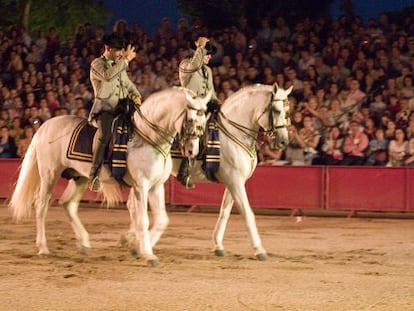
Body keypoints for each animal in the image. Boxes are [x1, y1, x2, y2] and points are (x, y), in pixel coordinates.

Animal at [8, 86, 210, 266]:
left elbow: (161, 220)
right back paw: (43, 248)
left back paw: (84, 243)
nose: (192, 150)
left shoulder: (156, 186)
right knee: (41, 207)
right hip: (50, 175)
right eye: (191, 119)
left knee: (68, 204)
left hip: (80, 178)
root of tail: (45, 126)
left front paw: (137, 249)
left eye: (204, 120)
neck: (148, 137)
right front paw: (147, 254)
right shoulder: (141, 186)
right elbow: (143, 220)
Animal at [124, 82, 292, 260]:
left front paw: (218, 245)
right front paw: (259, 249)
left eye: (287, 111)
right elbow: (247, 213)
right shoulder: (235, 181)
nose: (283, 142)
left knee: (132, 205)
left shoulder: (233, 183)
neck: (233, 132)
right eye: (276, 110)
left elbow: (224, 212)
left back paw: (130, 239)